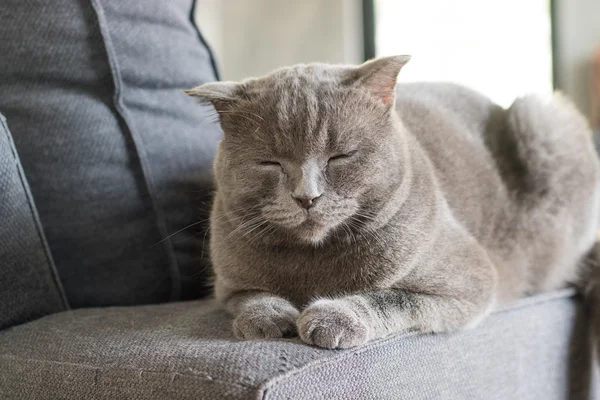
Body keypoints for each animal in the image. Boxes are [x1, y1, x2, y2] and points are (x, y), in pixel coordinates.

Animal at [184, 54, 600, 348]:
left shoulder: (472, 280)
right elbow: (249, 296)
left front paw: (331, 318)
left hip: (544, 120)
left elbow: (393, 298)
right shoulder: (228, 285)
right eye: (269, 162)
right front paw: (269, 319)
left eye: (340, 156)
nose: (307, 196)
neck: (312, 263)